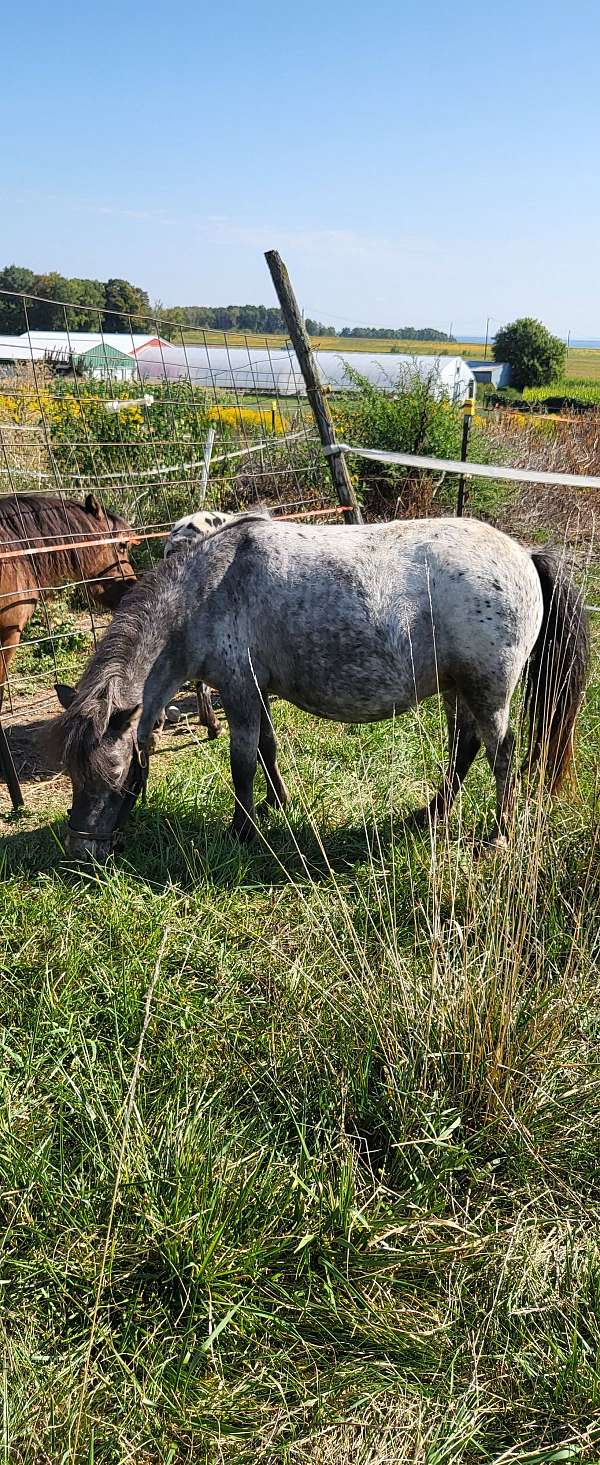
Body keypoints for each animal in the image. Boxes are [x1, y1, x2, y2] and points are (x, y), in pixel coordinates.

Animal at [47, 513, 590, 863]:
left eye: (116, 775)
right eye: (72, 774)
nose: (81, 853)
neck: (207, 591)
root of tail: (524, 554)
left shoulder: (239, 693)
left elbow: (241, 763)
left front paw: (242, 829)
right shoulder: (256, 692)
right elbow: (267, 748)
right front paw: (276, 803)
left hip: (487, 690)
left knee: (501, 754)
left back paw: (499, 835)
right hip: (457, 687)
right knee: (465, 745)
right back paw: (430, 814)